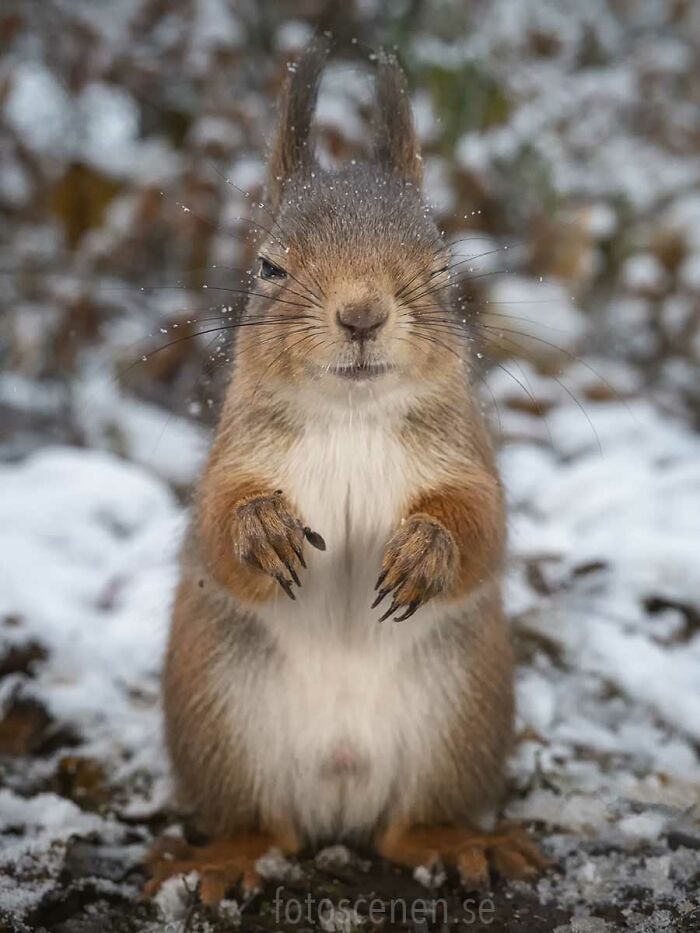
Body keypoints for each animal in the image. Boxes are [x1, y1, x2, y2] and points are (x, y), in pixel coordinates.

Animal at [145, 43, 547, 904]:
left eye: (440, 265)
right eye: (267, 267)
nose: (362, 314)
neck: (352, 416)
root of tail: (338, 790)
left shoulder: (470, 459)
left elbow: (484, 525)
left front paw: (428, 549)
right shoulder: (232, 455)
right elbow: (213, 528)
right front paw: (259, 528)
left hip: (457, 720)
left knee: (406, 826)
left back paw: (462, 841)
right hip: (222, 722)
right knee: (265, 827)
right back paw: (223, 858)